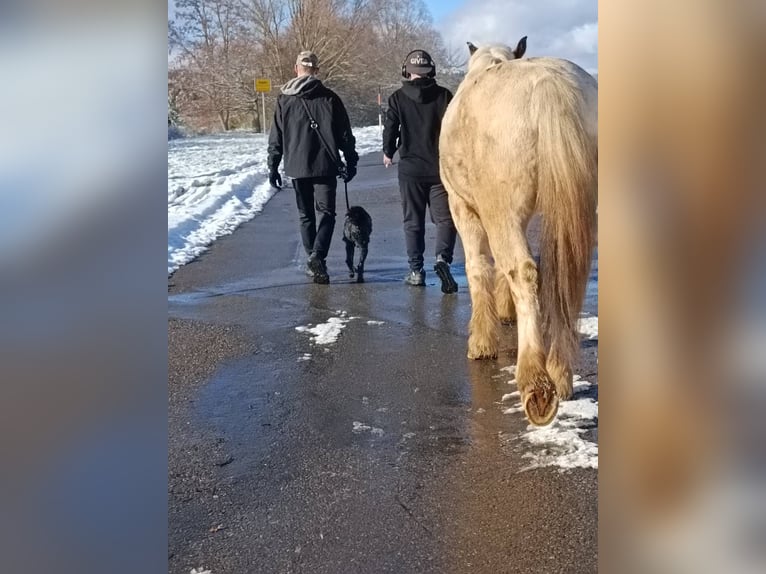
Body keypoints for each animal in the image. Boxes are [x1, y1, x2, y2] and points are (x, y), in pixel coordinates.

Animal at [438, 38, 600, 428]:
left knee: (524, 272)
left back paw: (536, 382)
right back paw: (559, 373)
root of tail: (551, 86)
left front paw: (482, 342)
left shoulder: (463, 207)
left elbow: (479, 266)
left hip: (499, 213)